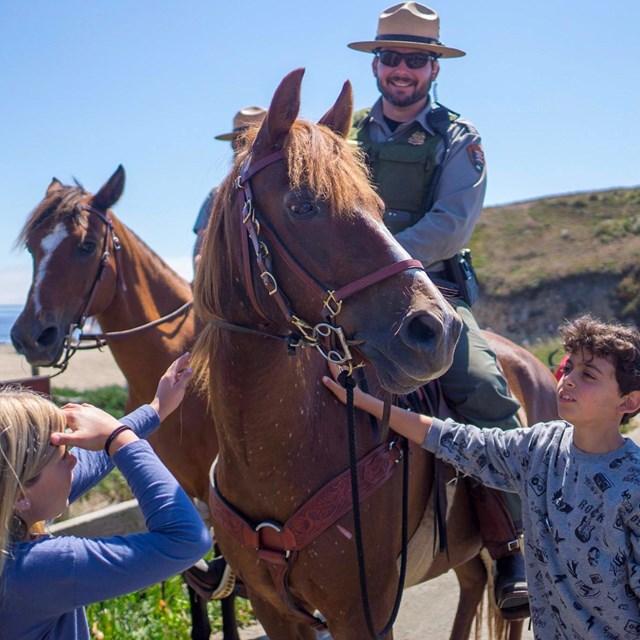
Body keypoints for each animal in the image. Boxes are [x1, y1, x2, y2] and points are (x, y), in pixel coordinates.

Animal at [192, 67, 556, 636]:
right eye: (302, 205)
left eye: (380, 209)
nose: (437, 329)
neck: (270, 451)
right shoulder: (276, 611)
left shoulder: (363, 611)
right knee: (473, 584)